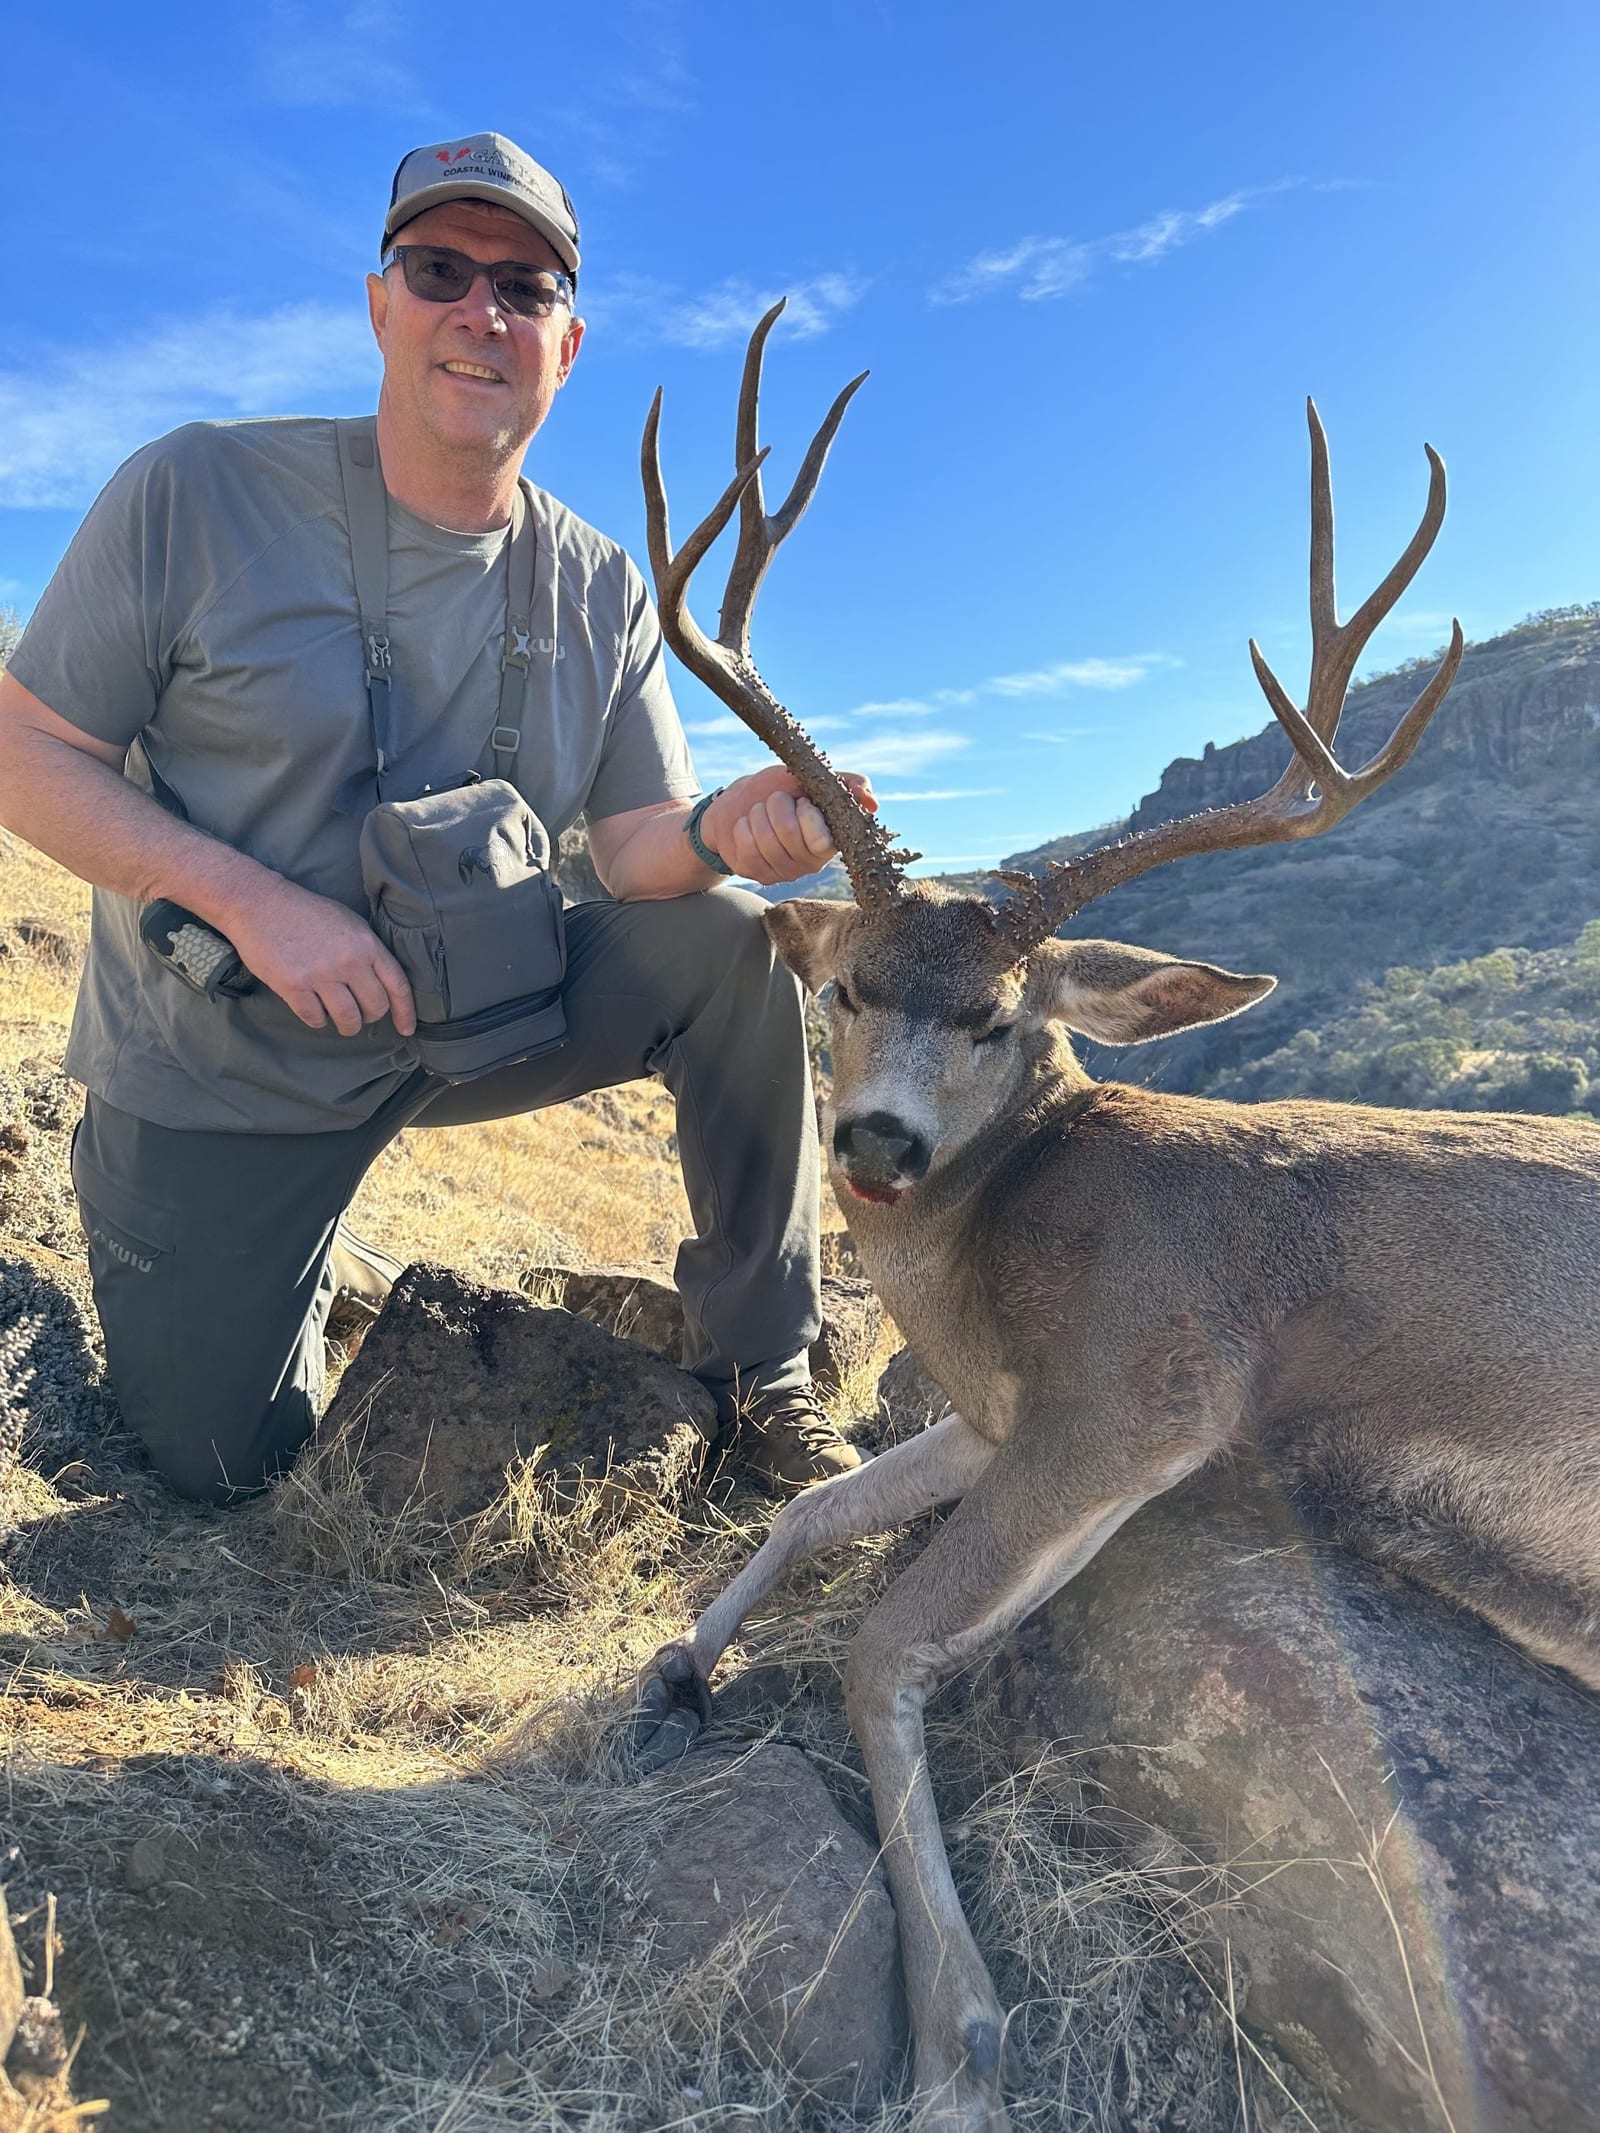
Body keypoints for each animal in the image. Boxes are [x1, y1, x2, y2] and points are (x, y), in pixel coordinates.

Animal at [627, 302, 1600, 2133]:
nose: (875, 1142)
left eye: (1000, 1014)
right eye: (846, 987)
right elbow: (816, 1509)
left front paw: (960, 2038)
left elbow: (882, 1647)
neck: (988, 1258)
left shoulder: (1140, 1387)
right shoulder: (1007, 1407)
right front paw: (670, 1674)